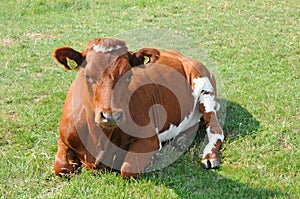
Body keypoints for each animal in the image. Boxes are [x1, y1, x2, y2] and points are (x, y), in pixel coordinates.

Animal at [52, 37, 225, 179]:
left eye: (129, 75)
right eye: (87, 75)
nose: (111, 116)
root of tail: (178, 54)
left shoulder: (150, 139)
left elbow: (127, 169)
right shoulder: (63, 139)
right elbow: (60, 167)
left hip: (205, 88)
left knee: (216, 130)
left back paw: (209, 156)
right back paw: (181, 140)